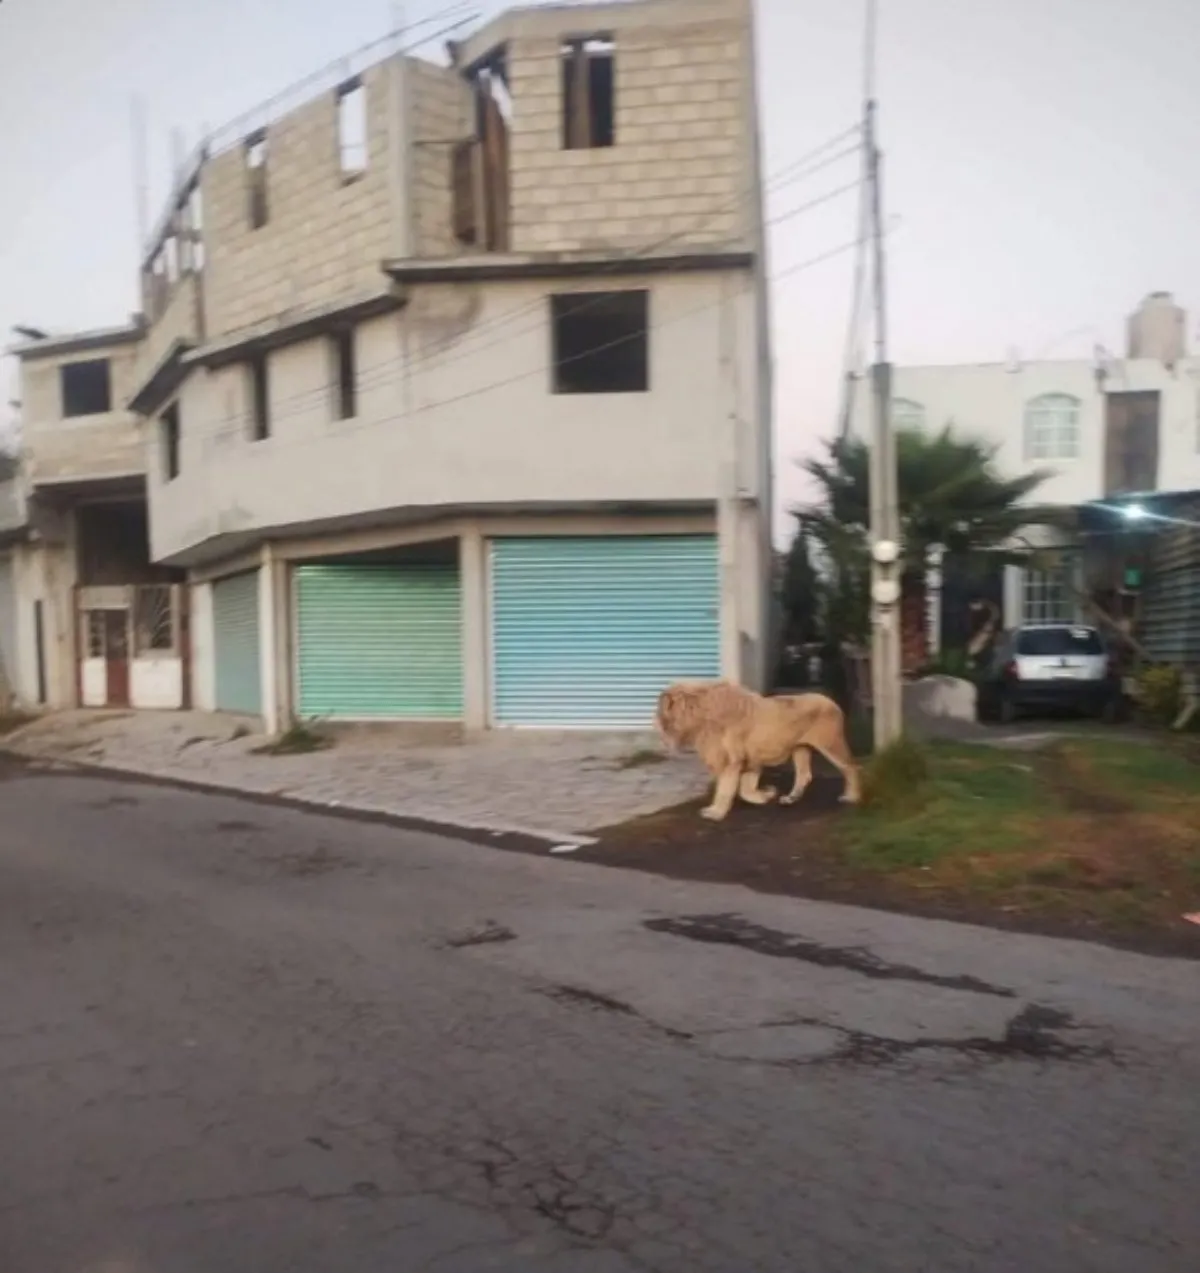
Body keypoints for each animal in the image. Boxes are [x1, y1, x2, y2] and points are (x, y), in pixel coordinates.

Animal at [656, 682, 865, 819]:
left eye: (660, 711)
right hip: (800, 748)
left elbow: (725, 789)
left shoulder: (732, 761)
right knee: (804, 774)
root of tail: (832, 702)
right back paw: (790, 798)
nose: (657, 725)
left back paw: (852, 797)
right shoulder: (750, 761)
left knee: (851, 767)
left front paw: (715, 812)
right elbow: (745, 790)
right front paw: (766, 795)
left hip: (831, 744)